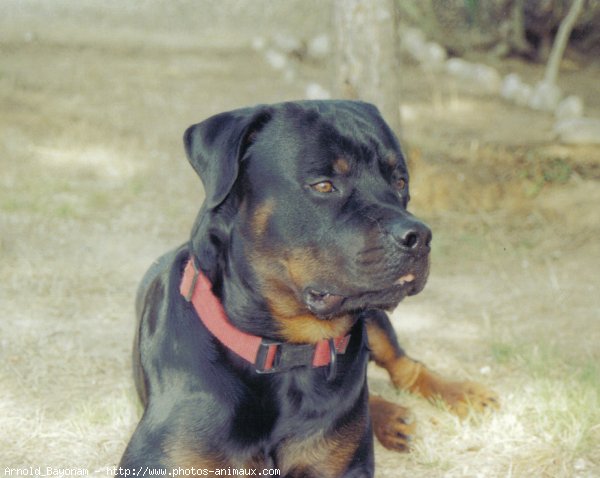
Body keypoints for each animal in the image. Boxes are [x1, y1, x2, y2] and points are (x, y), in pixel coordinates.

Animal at [118, 99, 496, 476]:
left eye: (401, 181)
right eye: (324, 185)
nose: (420, 237)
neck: (284, 355)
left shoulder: (345, 468)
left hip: (372, 319)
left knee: (403, 366)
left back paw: (463, 395)